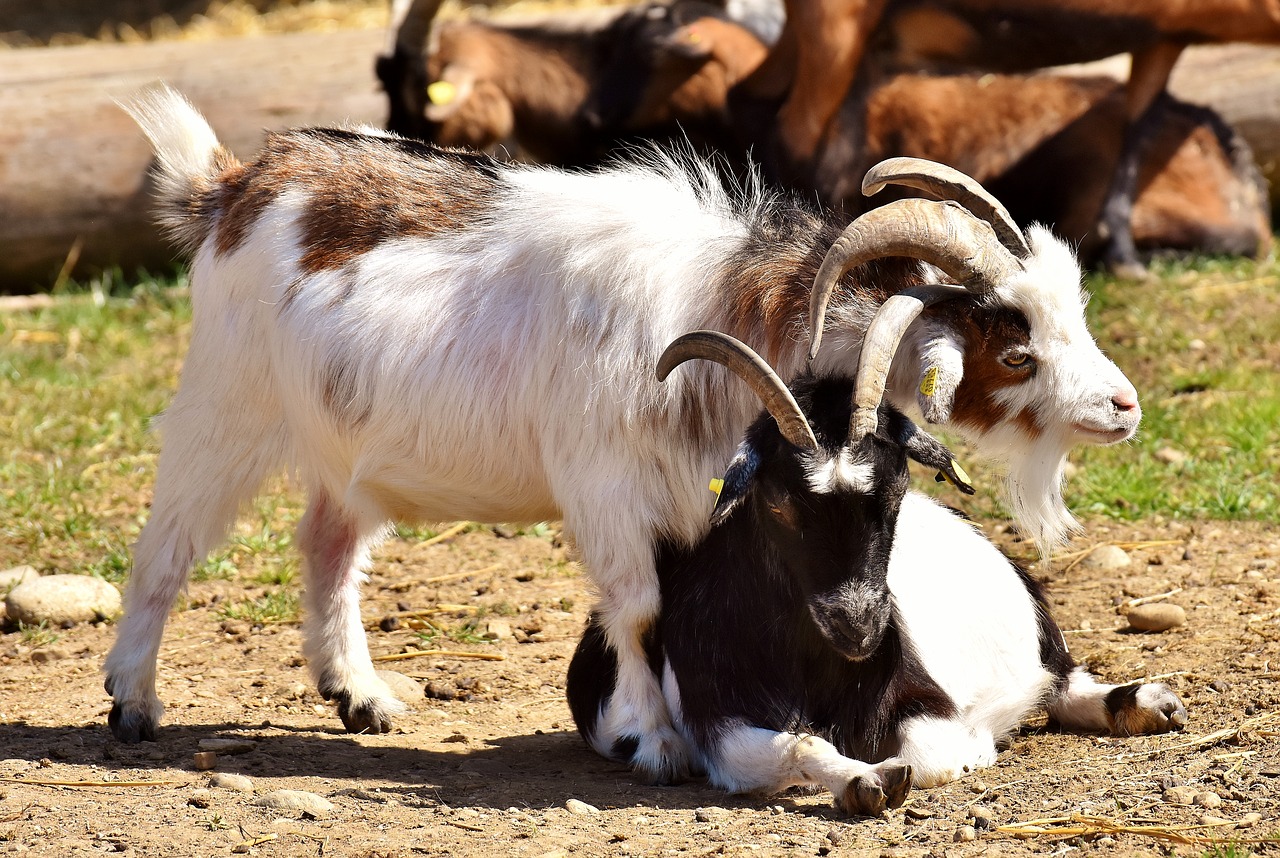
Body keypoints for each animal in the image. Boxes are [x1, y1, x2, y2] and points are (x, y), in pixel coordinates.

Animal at [104, 89, 1136, 788]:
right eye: (1014, 345)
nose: (1124, 407)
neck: (725, 315)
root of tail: (234, 186)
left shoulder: (698, 497)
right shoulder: (606, 485)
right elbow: (639, 611)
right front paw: (659, 743)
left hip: (345, 446)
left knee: (328, 541)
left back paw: (360, 696)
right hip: (229, 404)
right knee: (167, 544)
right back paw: (133, 702)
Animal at [565, 327, 1182, 814]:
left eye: (895, 487)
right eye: (777, 503)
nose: (859, 627)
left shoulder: (923, 700)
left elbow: (935, 755)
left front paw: (976, 747)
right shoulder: (717, 718)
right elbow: (799, 744)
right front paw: (864, 781)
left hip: (1037, 624)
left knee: (1064, 680)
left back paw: (1149, 702)